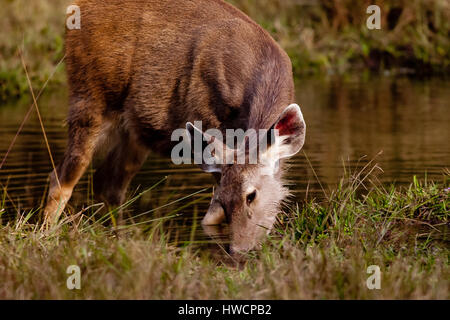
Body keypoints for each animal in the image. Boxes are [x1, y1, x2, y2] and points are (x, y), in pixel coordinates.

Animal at [44, 0, 306, 255]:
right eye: (227, 202)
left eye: (251, 195)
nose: (238, 249)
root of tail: (77, 7)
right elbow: (210, 216)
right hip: (89, 97)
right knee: (62, 179)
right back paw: (47, 235)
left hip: (133, 134)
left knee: (108, 184)